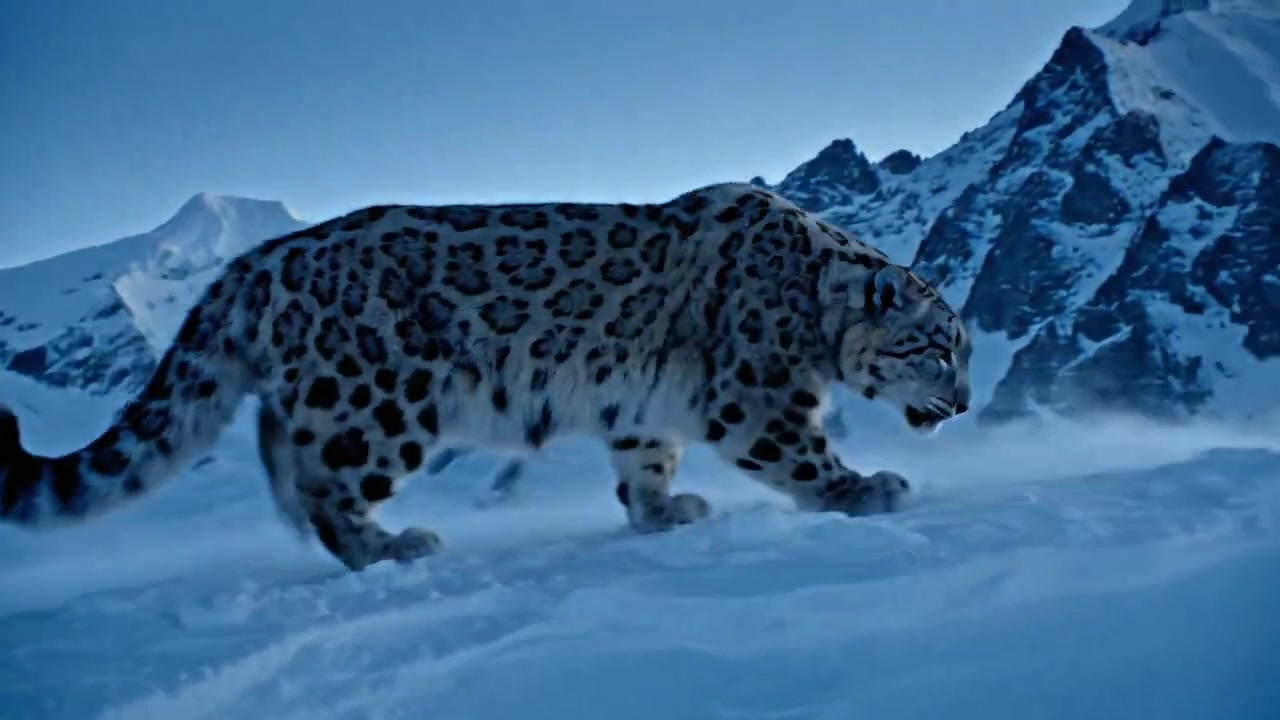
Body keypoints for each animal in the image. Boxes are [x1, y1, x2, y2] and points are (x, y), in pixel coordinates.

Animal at [0, 182, 972, 572]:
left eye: (963, 351)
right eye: (939, 346)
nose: (963, 401)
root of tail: (258, 259)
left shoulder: (646, 404)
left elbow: (646, 460)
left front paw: (663, 512)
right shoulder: (756, 394)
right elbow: (800, 454)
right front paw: (867, 490)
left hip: (326, 395)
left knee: (281, 451)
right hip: (377, 400)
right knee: (326, 482)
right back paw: (391, 546)